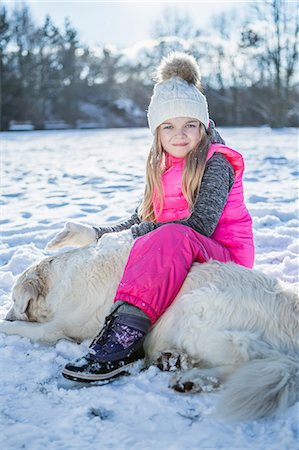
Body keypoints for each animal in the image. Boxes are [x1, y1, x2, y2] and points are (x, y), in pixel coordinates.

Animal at [0, 232, 299, 422]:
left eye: (15, 300)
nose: (11, 313)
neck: (59, 281)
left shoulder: (58, 327)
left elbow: (25, 328)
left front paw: (5, 323)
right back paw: (176, 363)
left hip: (198, 311)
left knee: (247, 359)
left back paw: (191, 378)